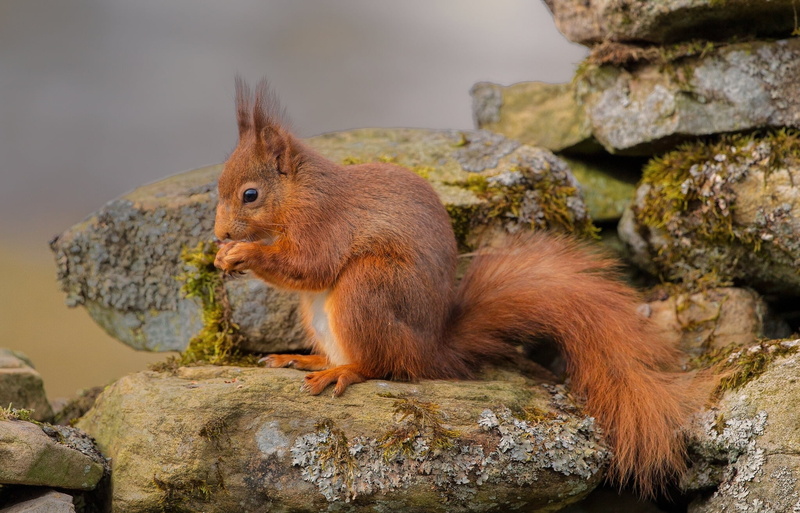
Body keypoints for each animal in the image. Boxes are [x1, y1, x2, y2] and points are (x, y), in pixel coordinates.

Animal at [213, 79, 711, 497]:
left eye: (250, 195)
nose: (219, 236)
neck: (299, 193)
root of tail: (430, 350)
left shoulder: (326, 224)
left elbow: (310, 265)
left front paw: (244, 255)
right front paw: (225, 258)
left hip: (366, 288)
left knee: (380, 364)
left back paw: (344, 371)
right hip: (319, 313)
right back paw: (303, 359)